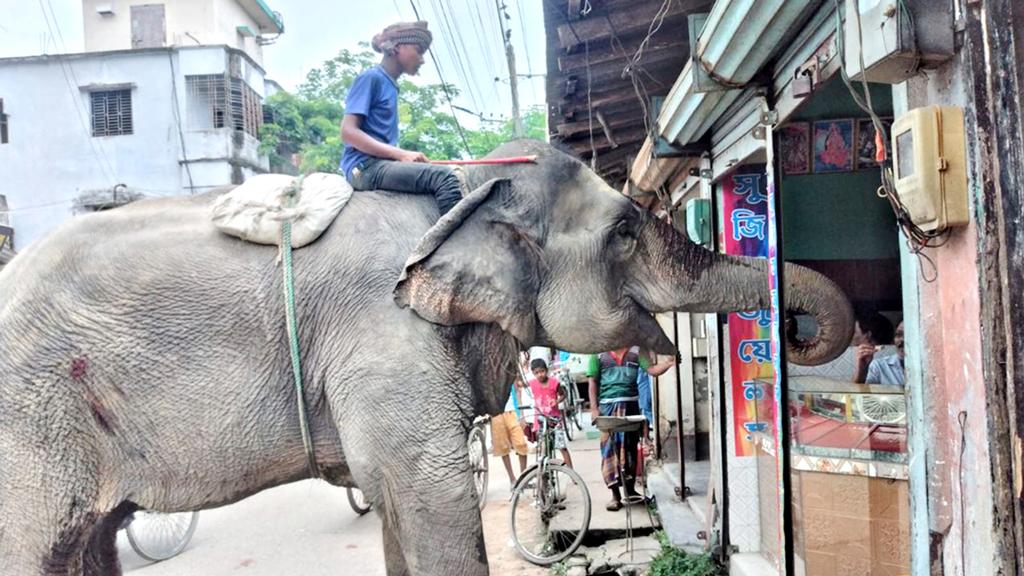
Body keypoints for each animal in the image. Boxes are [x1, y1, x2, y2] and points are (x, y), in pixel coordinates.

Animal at [0, 139, 851, 573]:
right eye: (624, 232)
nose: (793, 333)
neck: (472, 190)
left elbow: (397, 497)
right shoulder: (381, 332)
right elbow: (427, 489)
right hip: (32, 426)